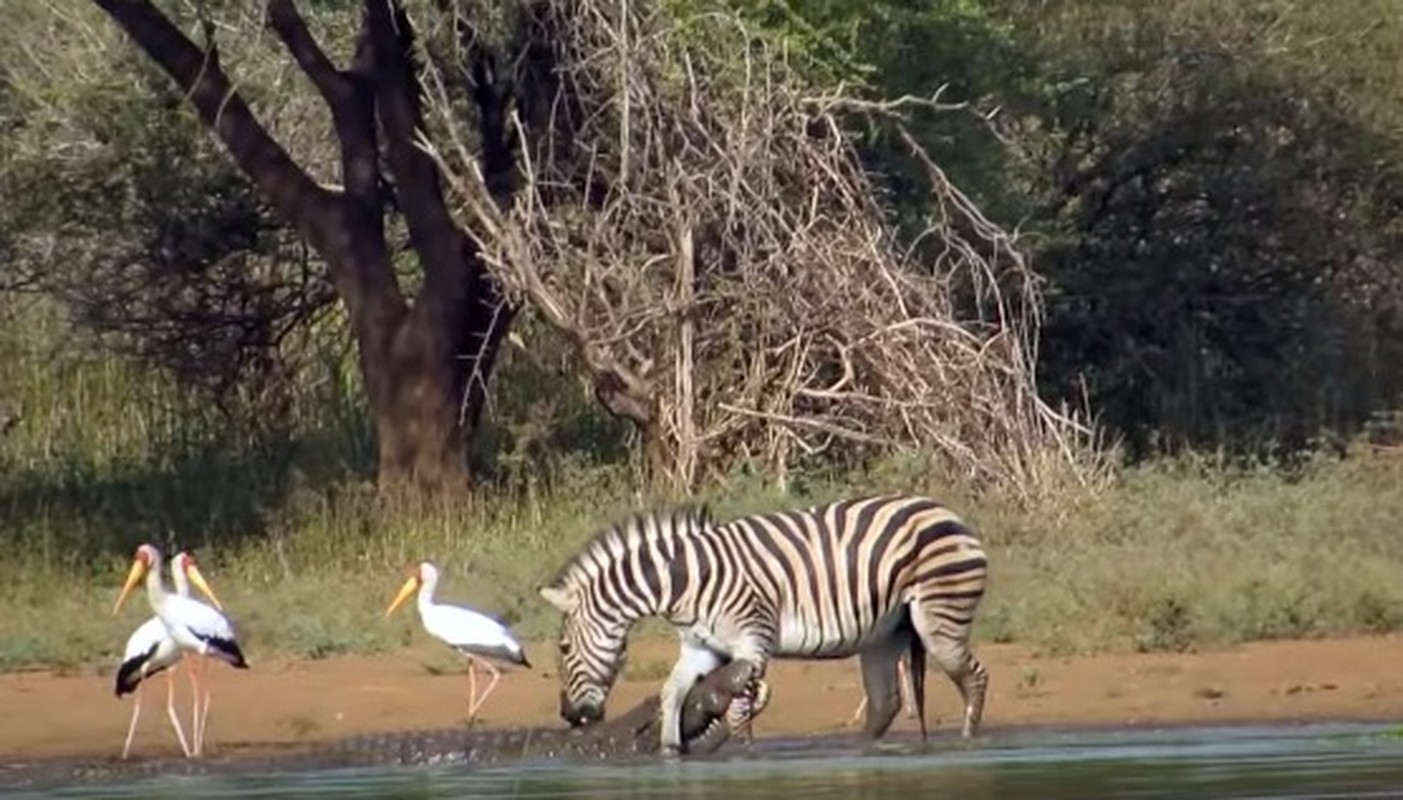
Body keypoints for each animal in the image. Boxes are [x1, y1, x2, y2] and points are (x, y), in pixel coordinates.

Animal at [535, 491, 987, 752]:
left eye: (563, 648)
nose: (568, 715)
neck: (684, 581)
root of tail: (943, 509)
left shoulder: (753, 642)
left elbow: (737, 714)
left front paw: (744, 758)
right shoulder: (701, 646)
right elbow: (671, 694)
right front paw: (669, 752)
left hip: (939, 616)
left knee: (974, 677)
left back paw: (969, 742)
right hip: (884, 633)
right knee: (885, 702)